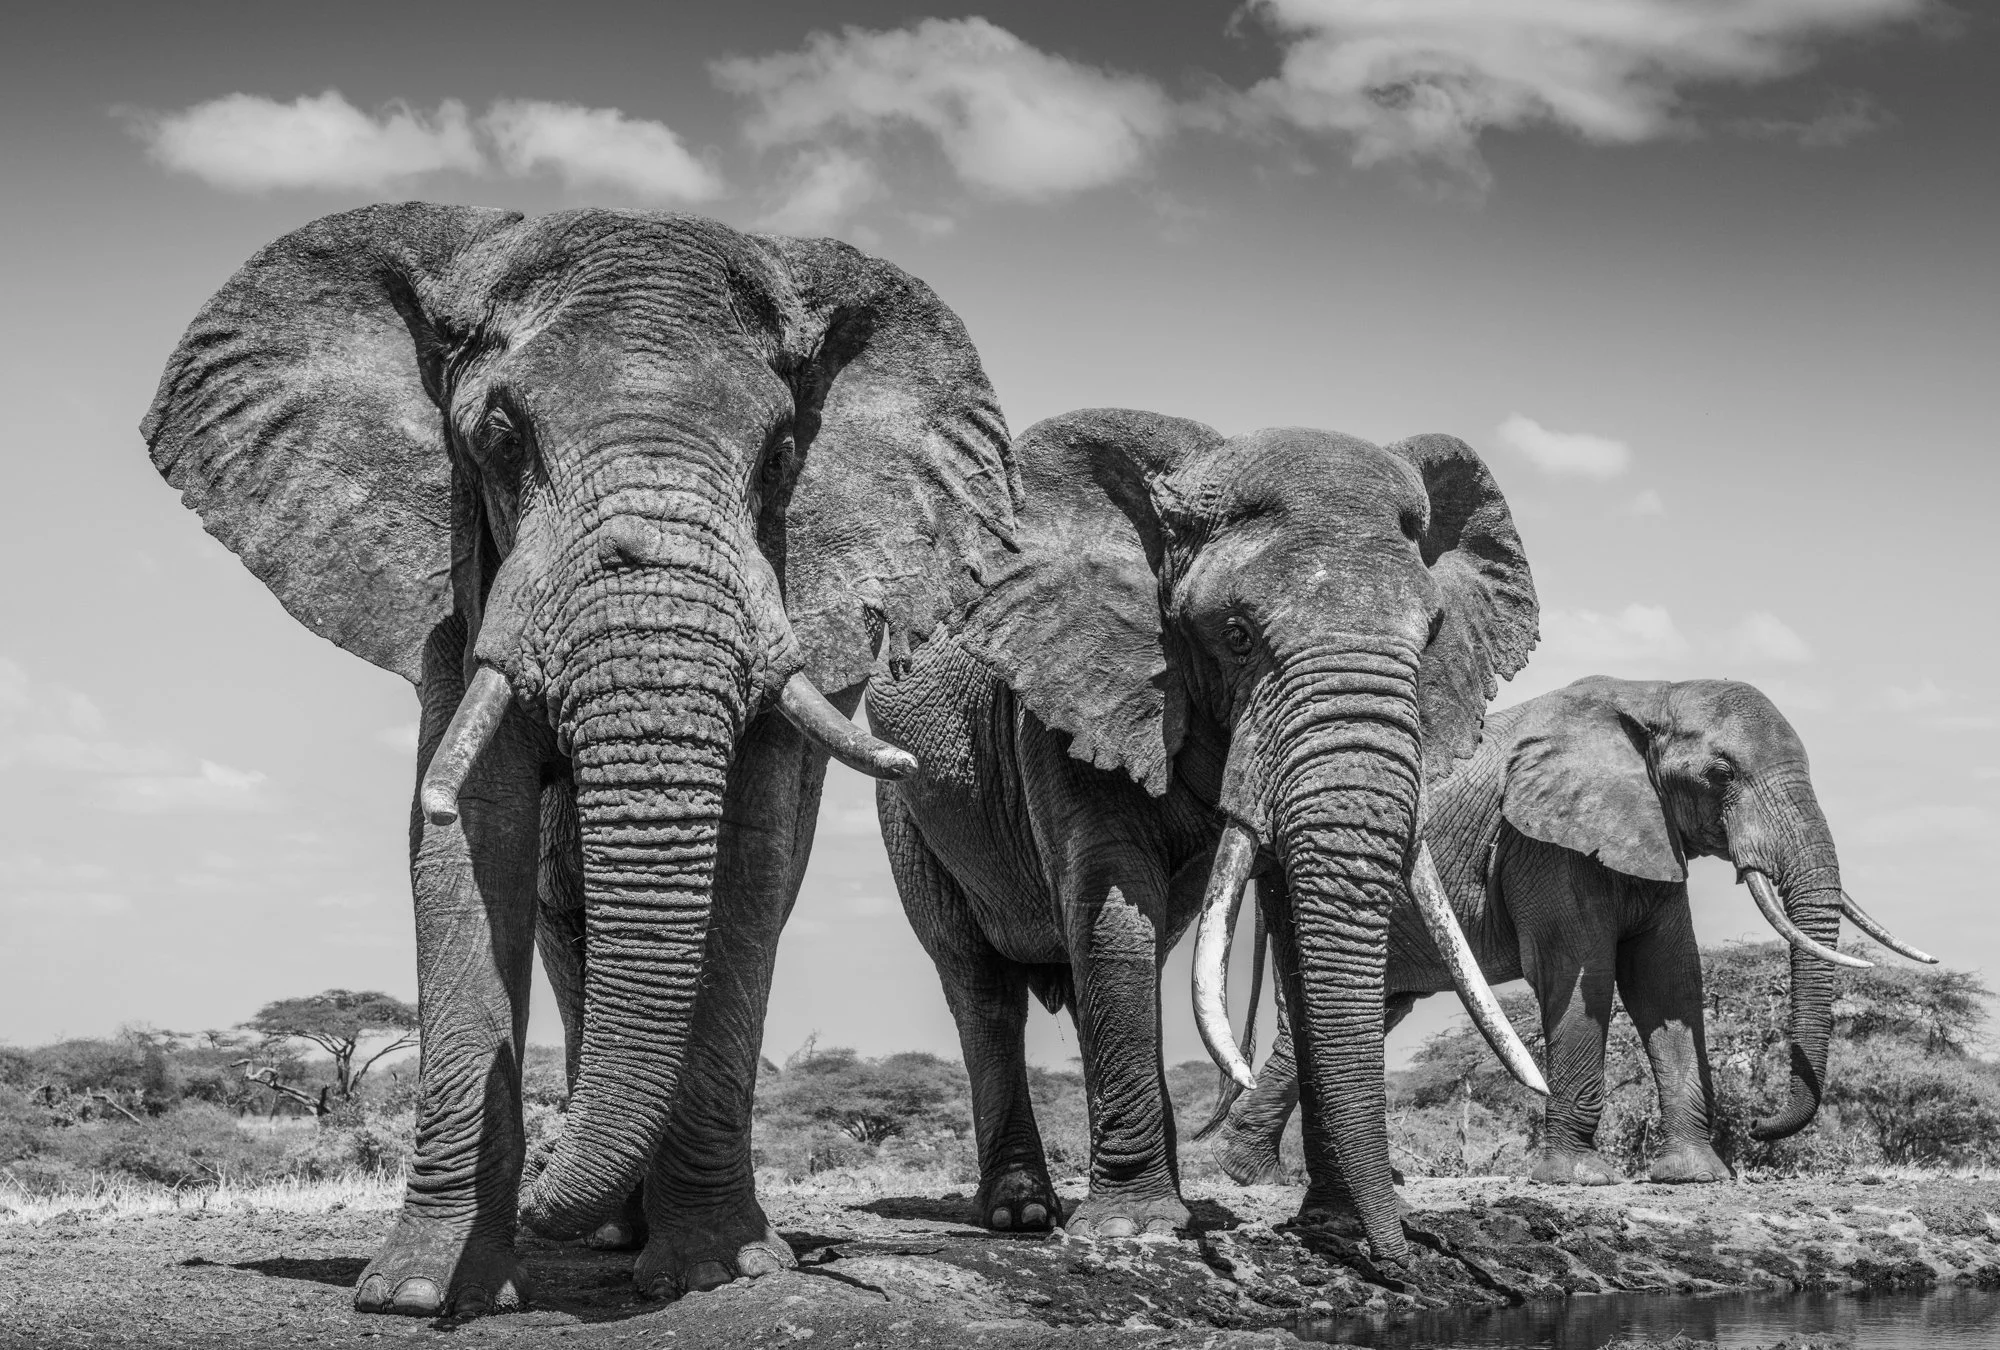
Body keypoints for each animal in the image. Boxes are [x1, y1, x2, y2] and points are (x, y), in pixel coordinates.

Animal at [141, 204, 1016, 1315]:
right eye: (501, 435)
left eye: (781, 455)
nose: (547, 1190)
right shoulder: (455, 591)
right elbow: (467, 846)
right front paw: (424, 1293)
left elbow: (749, 865)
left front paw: (717, 1270)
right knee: (569, 913)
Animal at [864, 408, 1544, 1261]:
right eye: (1237, 633)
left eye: (1431, 638)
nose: (1401, 1254)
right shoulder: (1072, 694)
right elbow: (1112, 904)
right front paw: (1129, 1228)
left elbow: (1288, 928)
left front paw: (1333, 1226)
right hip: (905, 801)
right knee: (981, 986)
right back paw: (1023, 1214)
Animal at [1206, 676, 1935, 1188]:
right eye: (1722, 774)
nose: (1759, 1122)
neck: (1655, 694)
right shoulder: (1542, 844)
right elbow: (1580, 970)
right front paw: (1580, 1181)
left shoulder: (1651, 834)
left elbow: (1668, 979)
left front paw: (1696, 1176)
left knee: (1368, 1010)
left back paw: (1263, 1173)